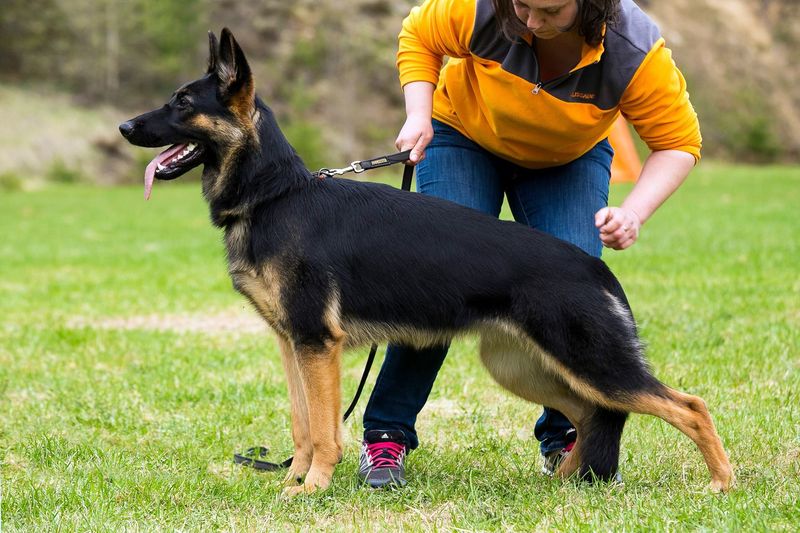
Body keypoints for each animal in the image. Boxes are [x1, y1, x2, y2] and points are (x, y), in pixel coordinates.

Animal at [115, 28, 736, 494]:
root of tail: (594, 266)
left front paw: (312, 488)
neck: (274, 194)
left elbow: (324, 431)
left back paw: (720, 483)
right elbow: (301, 424)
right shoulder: (293, 344)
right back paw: (563, 478)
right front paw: (292, 482)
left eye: (182, 103)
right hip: (520, 365)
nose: (123, 126)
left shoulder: (317, 345)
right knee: (589, 416)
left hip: (590, 363)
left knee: (689, 405)